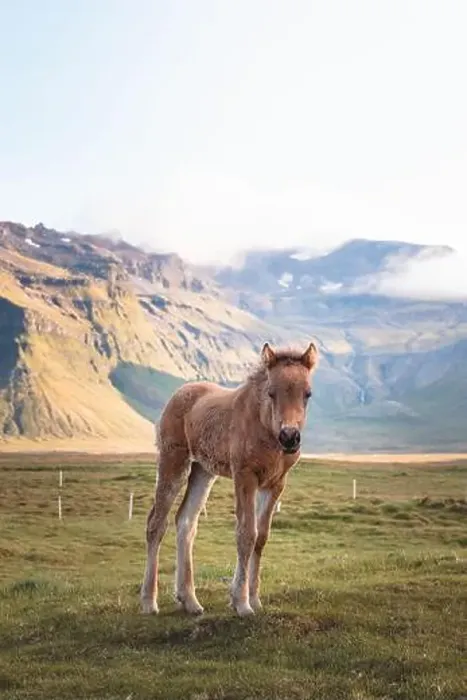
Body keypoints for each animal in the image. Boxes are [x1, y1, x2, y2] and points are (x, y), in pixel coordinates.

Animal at [140, 340, 319, 617]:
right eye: (271, 392)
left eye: (307, 393)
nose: (290, 437)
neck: (264, 428)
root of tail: (178, 393)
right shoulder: (244, 476)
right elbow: (246, 534)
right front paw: (242, 603)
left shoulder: (275, 483)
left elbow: (261, 537)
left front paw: (253, 598)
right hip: (174, 461)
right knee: (156, 523)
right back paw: (149, 602)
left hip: (203, 470)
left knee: (186, 521)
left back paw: (190, 600)